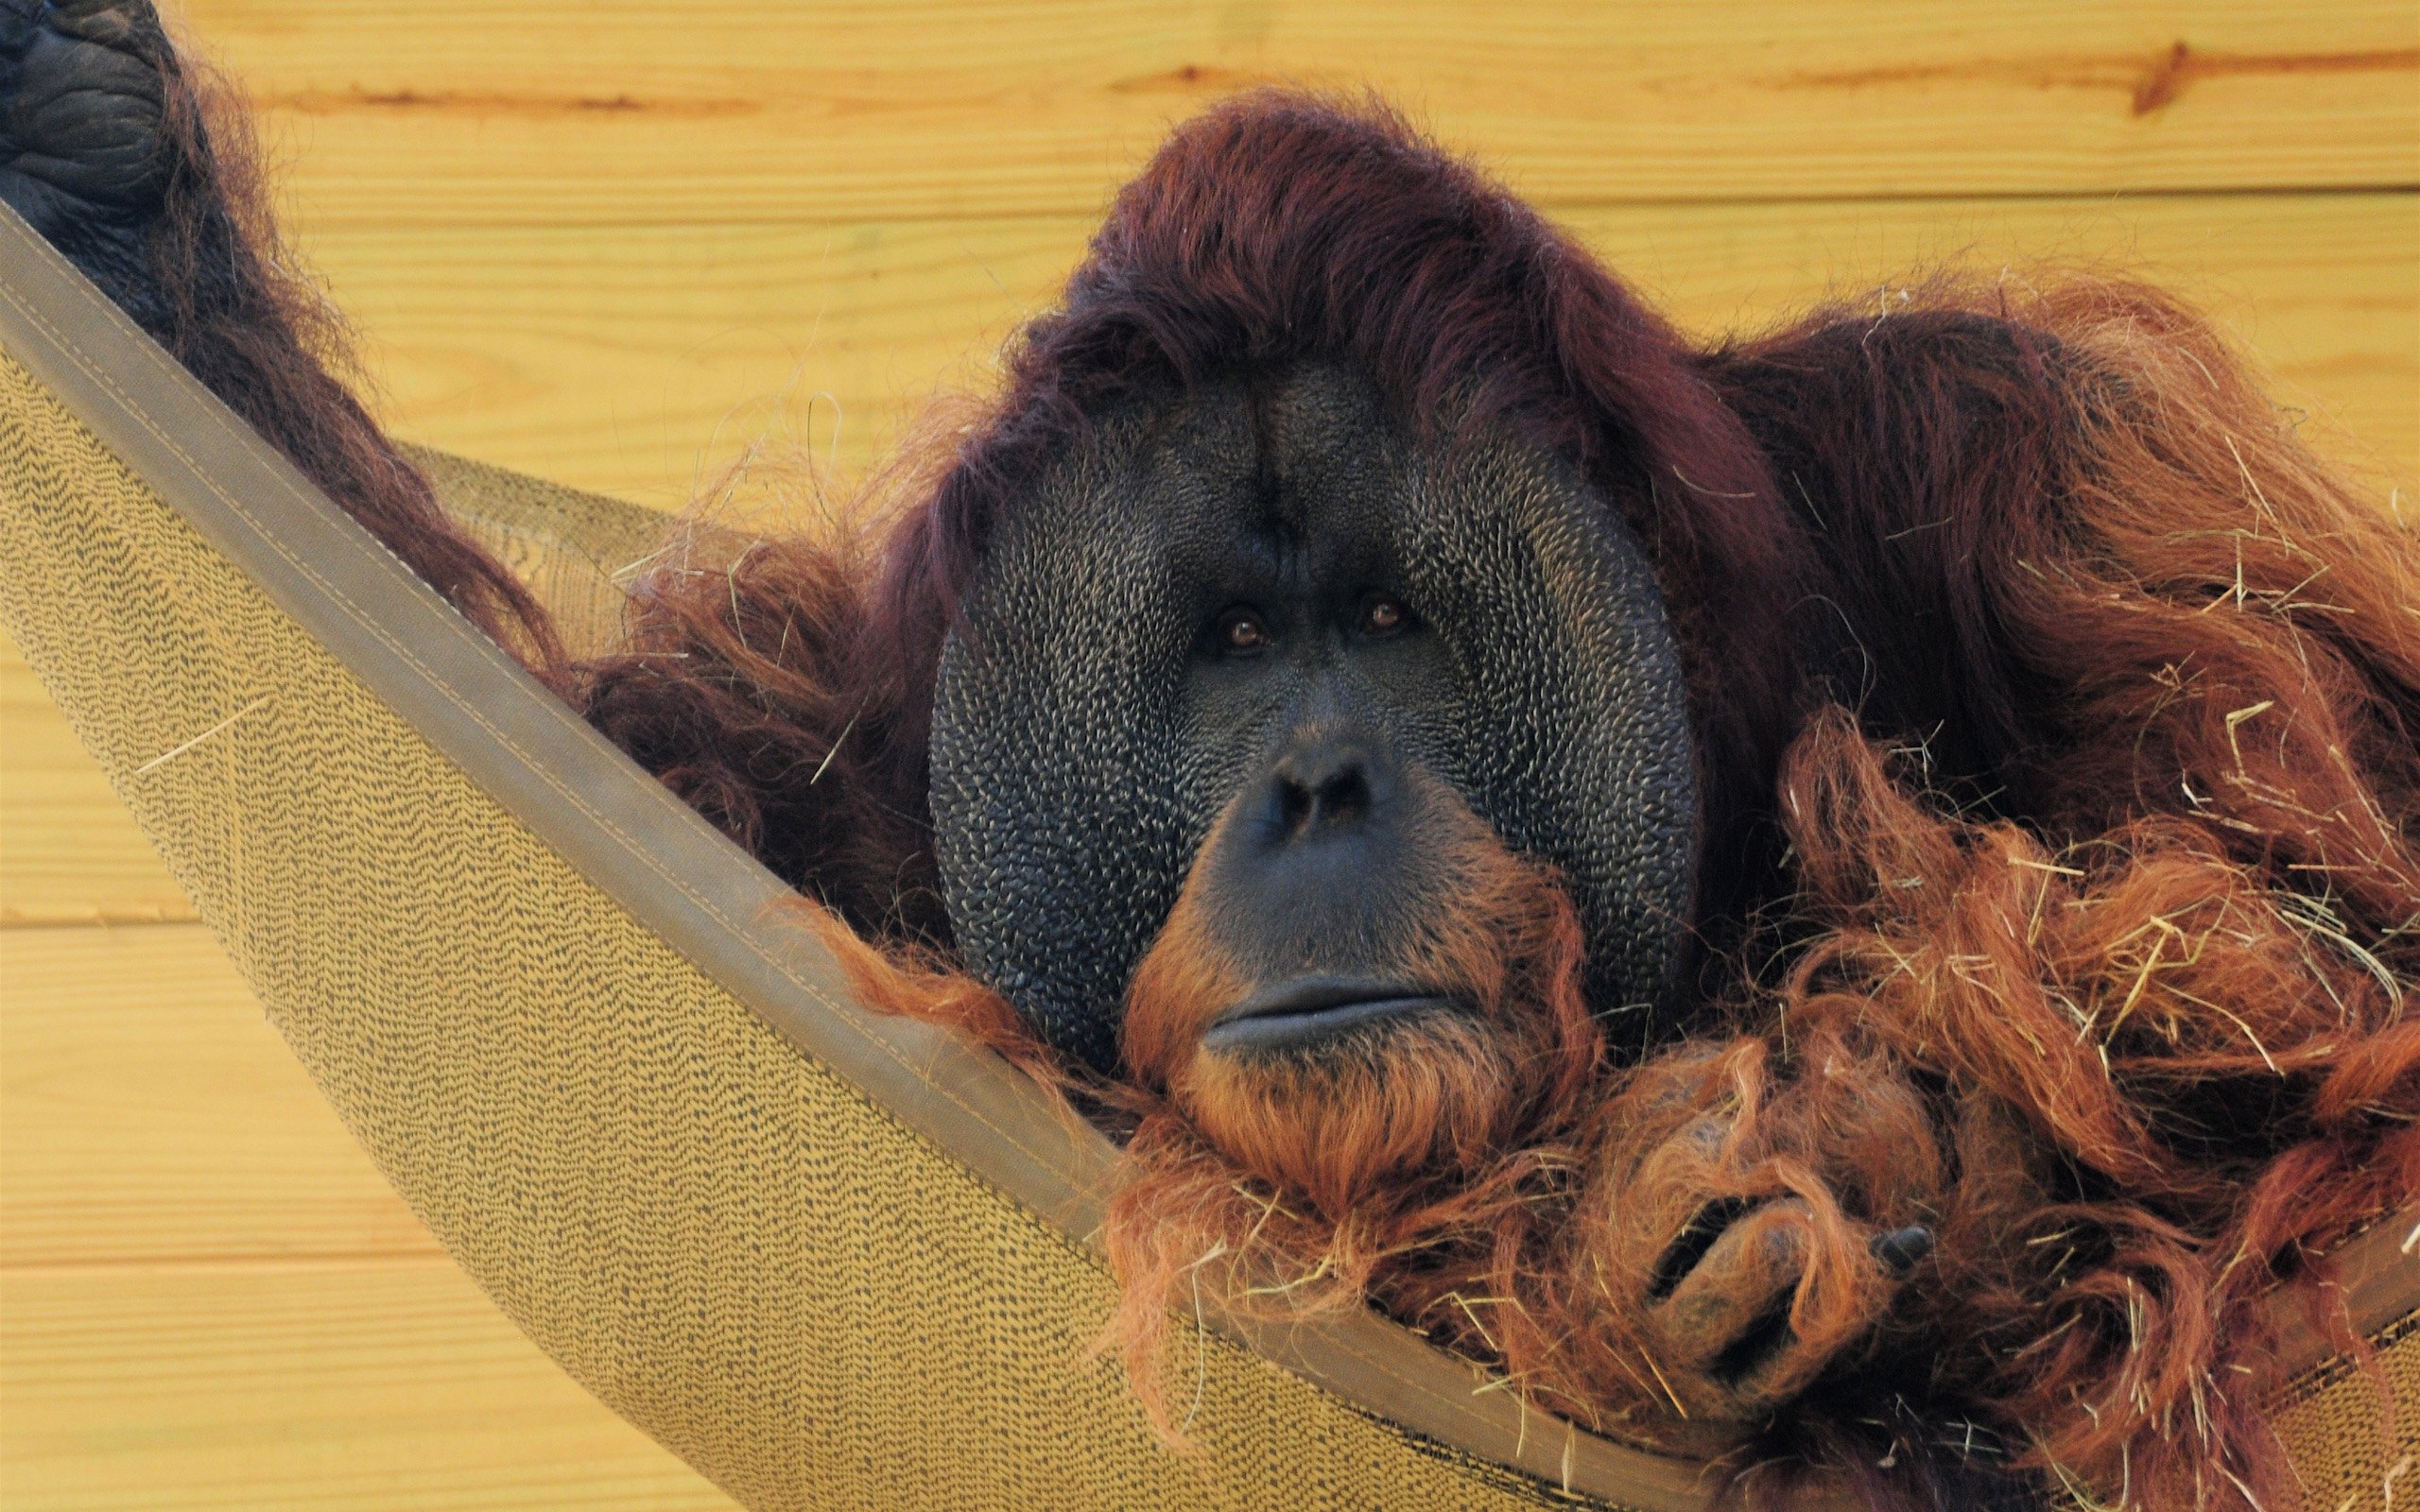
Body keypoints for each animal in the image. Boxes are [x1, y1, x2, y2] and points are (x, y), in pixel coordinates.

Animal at [9, 4, 2417, 1507]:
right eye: (1238, 642)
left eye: (1387, 627)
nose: (1316, 783)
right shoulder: (848, 744)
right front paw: (108, 183)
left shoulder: (2038, 468)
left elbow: (2287, 952)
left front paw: (1811, 1163)